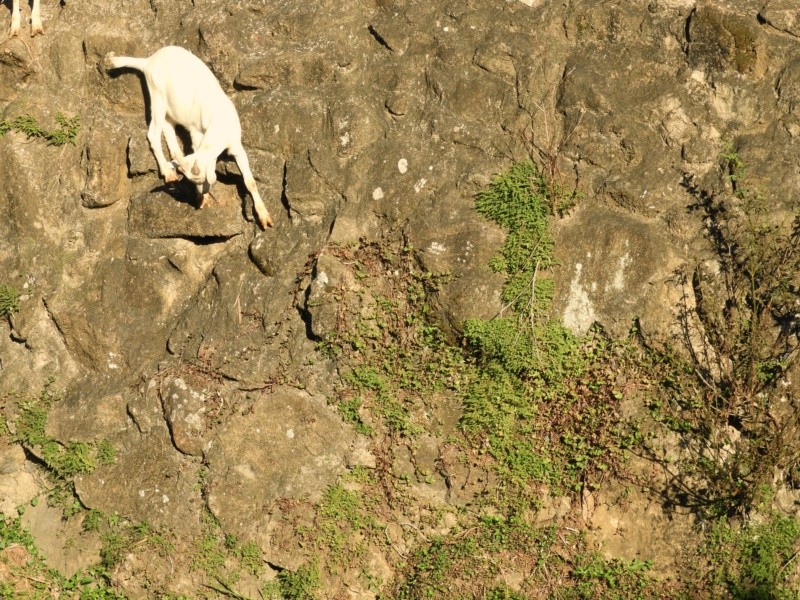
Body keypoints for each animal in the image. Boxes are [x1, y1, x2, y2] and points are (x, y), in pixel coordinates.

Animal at [104, 45, 274, 230]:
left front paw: (264, 217)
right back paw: (167, 172)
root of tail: (148, 62)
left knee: (168, 129)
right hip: (157, 97)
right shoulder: (196, 132)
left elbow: (250, 181)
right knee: (153, 133)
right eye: (194, 182)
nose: (202, 195)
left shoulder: (236, 145)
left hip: (168, 107)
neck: (218, 121)